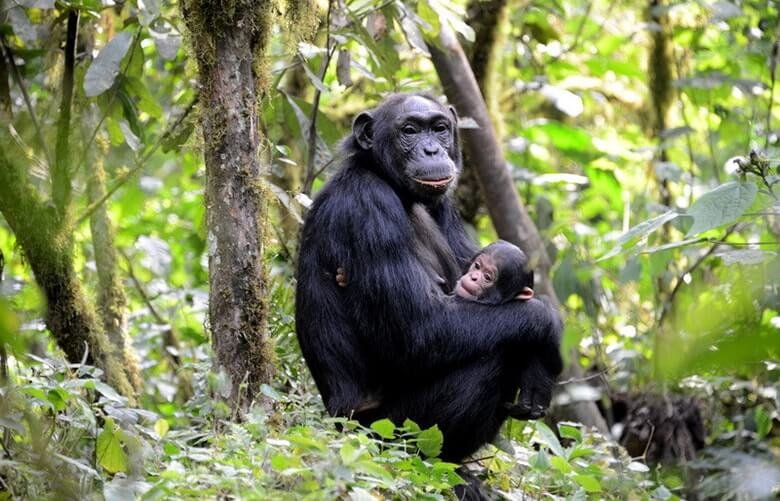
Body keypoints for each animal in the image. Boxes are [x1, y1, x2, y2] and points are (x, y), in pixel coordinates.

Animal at [294, 94, 560, 460]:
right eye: (409, 130)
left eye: (439, 128)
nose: (432, 150)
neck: (391, 184)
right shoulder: (368, 206)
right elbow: (420, 329)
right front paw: (548, 324)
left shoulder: (444, 204)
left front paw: (540, 371)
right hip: (385, 431)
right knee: (500, 349)